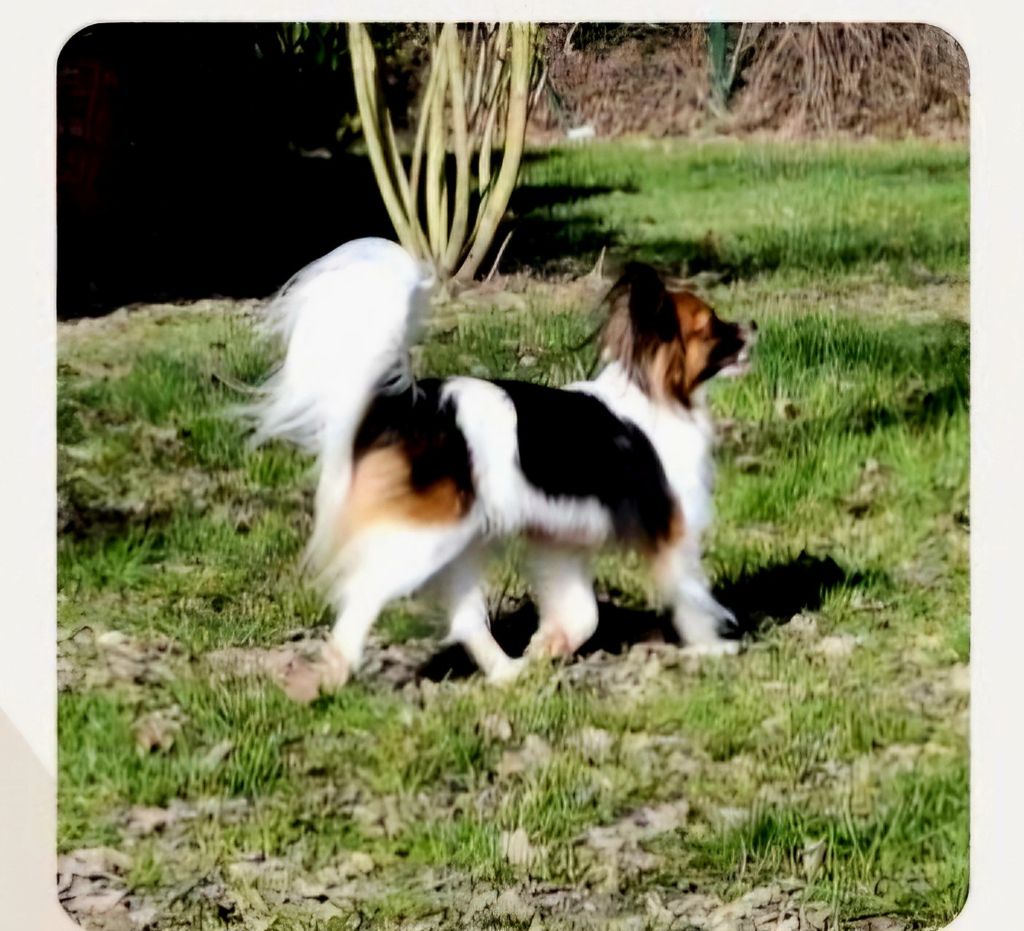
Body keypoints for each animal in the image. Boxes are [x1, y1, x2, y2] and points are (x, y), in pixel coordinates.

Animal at [249, 237, 755, 686]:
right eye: (711, 327)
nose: (751, 325)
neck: (655, 395)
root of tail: (410, 405)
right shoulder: (673, 530)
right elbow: (690, 597)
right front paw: (711, 647)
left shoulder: (560, 539)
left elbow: (582, 615)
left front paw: (546, 648)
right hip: (425, 537)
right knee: (365, 593)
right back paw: (335, 672)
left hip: (457, 546)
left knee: (466, 619)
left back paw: (505, 672)